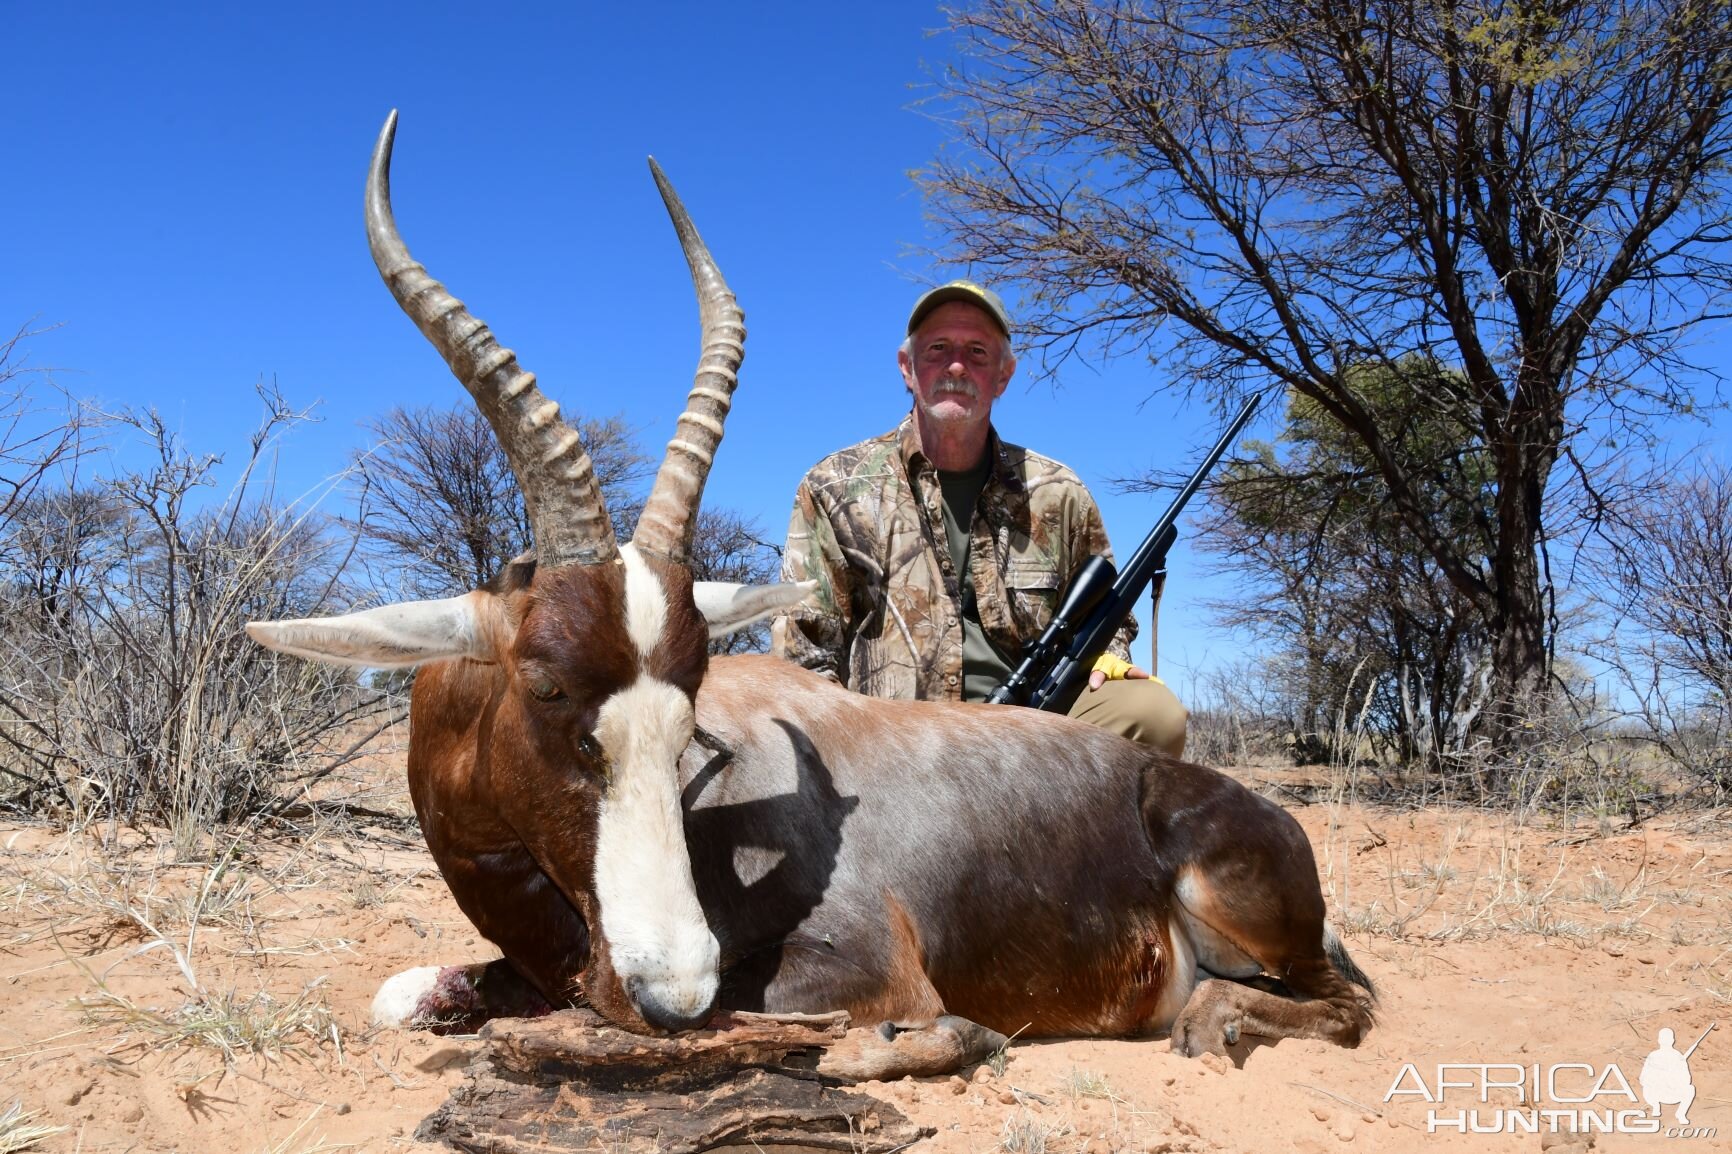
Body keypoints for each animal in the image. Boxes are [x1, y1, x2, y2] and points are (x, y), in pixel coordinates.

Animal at [247, 112, 1378, 1067]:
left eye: (691, 708)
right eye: (549, 686)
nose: (670, 989)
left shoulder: (854, 971)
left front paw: (940, 1039)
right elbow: (403, 994)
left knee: (1344, 1001)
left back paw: (1207, 1020)